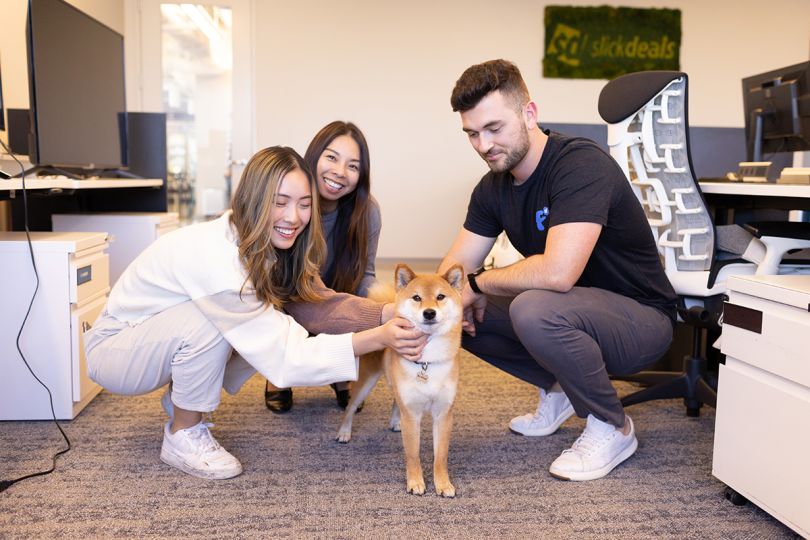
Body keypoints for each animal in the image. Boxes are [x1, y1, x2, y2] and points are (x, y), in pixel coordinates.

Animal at [334, 264, 460, 496]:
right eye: (417, 297)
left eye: (440, 296)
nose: (429, 312)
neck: (428, 360)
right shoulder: (411, 414)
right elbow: (413, 454)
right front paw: (416, 482)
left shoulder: (443, 413)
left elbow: (441, 456)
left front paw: (443, 484)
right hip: (366, 382)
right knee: (351, 407)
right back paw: (344, 432)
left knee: (395, 399)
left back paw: (395, 421)